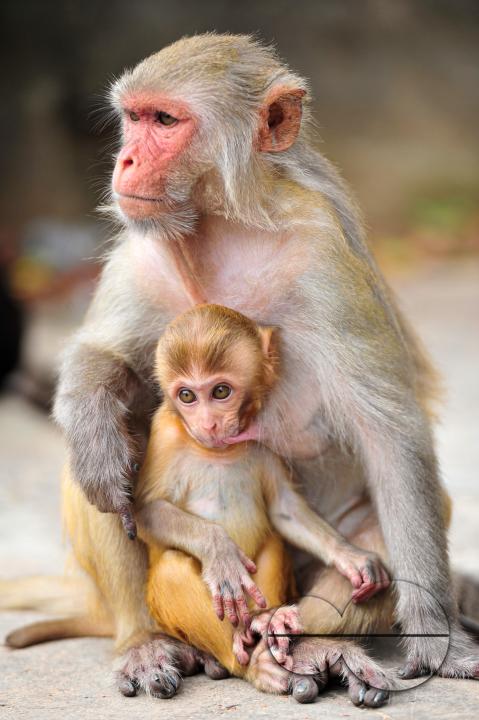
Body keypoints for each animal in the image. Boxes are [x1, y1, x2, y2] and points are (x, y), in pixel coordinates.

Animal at [133, 303, 390, 677]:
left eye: (220, 392)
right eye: (187, 396)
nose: (208, 423)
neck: (217, 450)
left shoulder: (266, 435)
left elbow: (283, 508)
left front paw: (349, 555)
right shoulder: (164, 435)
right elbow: (144, 511)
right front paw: (219, 550)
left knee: (272, 542)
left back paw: (265, 620)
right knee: (173, 568)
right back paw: (245, 656)